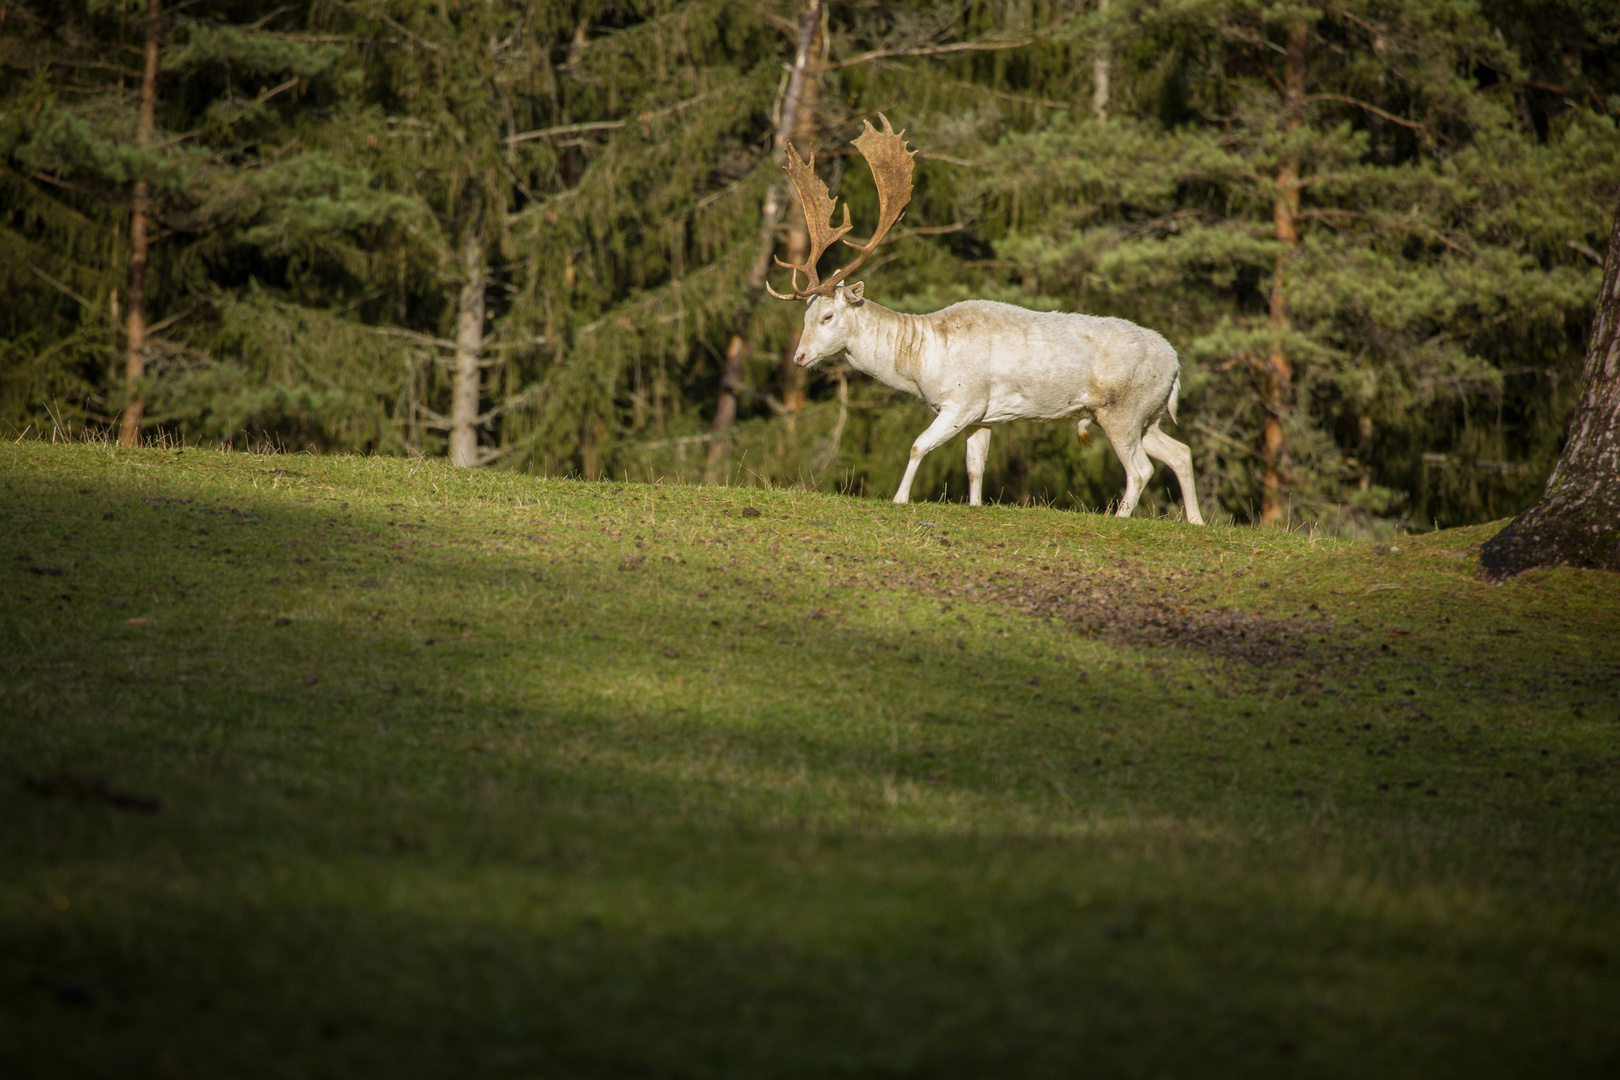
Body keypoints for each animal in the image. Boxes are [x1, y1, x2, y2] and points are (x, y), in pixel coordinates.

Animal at [767, 116, 1205, 524]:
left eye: (827, 315)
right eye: (805, 314)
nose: (799, 358)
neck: (922, 363)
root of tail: (1176, 365)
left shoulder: (964, 401)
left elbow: (918, 445)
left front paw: (900, 498)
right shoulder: (982, 416)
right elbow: (975, 466)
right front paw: (975, 505)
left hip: (1123, 410)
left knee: (1141, 469)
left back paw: (1120, 517)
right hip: (1145, 414)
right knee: (1180, 452)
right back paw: (1196, 521)